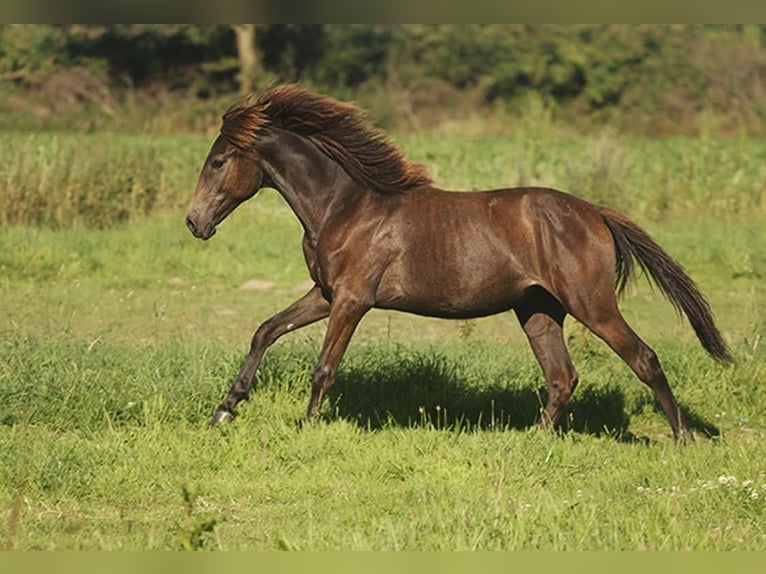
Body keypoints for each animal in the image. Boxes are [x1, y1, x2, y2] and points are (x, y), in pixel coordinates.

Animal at [185, 84, 732, 441]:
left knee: (644, 359)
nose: (194, 223)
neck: (343, 207)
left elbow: (324, 367)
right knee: (562, 378)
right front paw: (224, 411)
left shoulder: (352, 300)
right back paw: (530, 441)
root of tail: (595, 212)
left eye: (218, 162)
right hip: (538, 310)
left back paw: (683, 439)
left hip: (592, 304)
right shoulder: (325, 295)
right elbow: (265, 330)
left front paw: (307, 426)